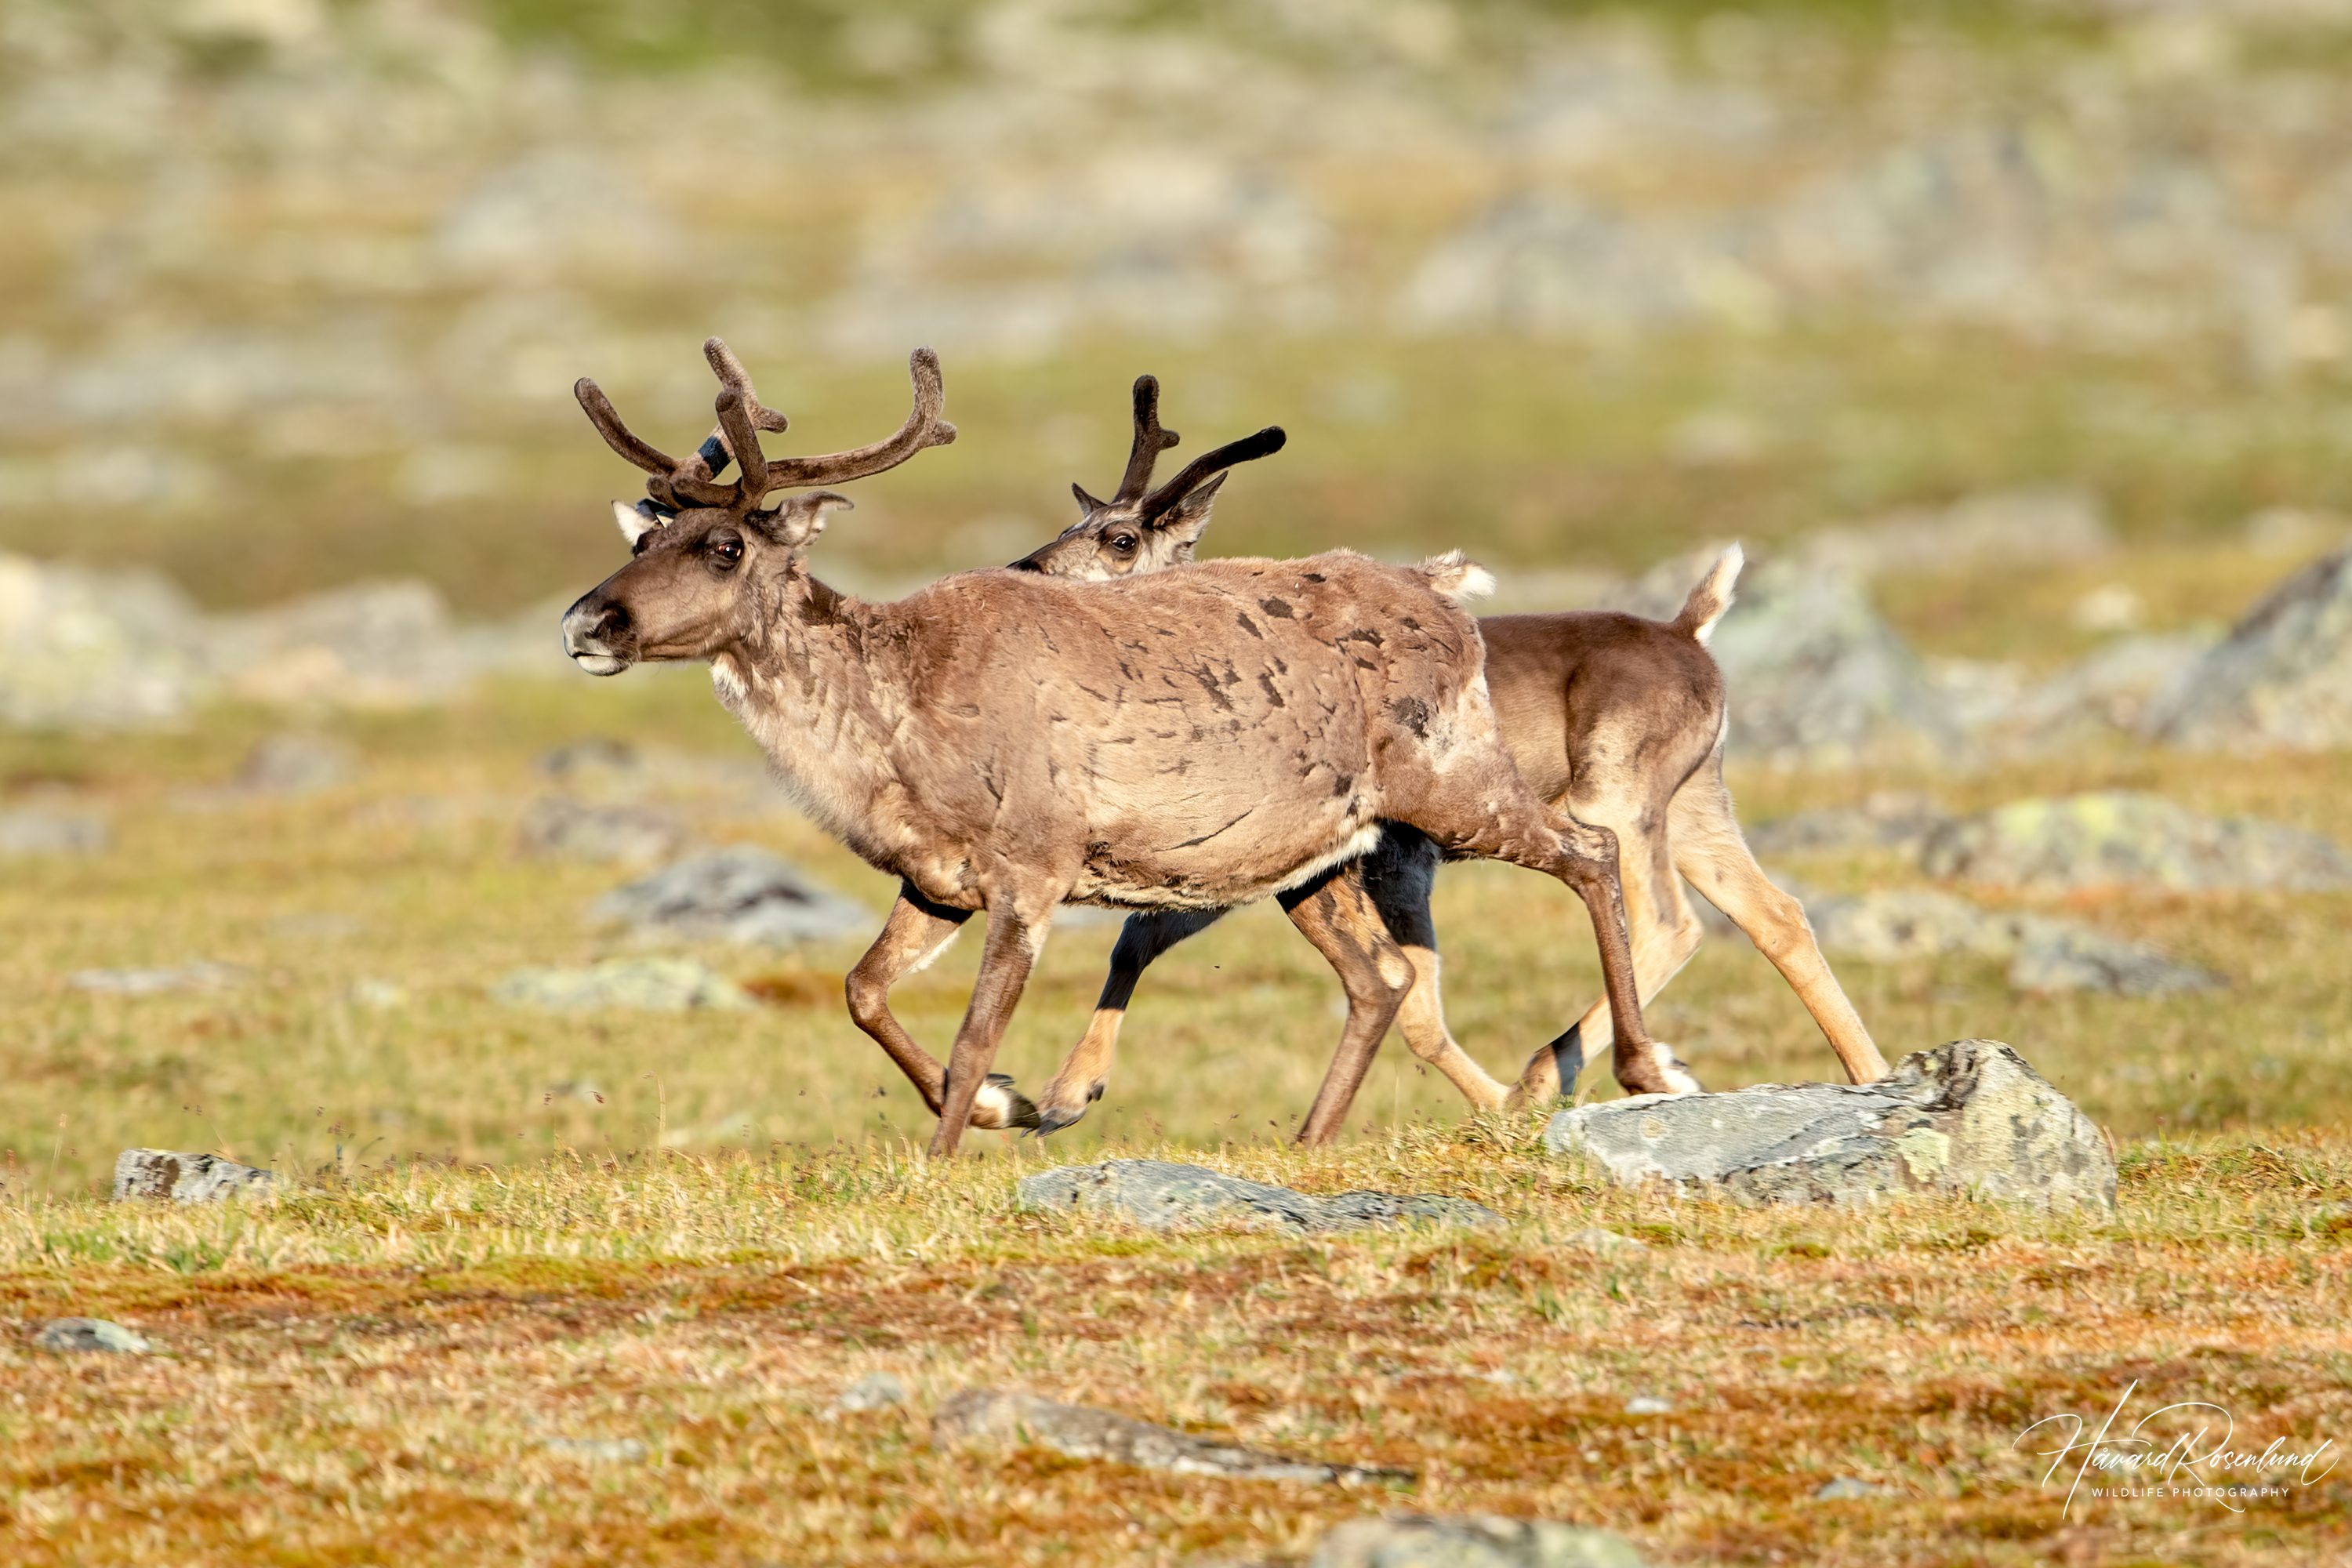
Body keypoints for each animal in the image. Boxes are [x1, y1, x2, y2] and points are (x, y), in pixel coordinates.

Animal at [559, 340, 1691, 1155]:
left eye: (723, 545)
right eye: (640, 538)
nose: (586, 621)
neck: (894, 725)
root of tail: (1445, 593)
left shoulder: (1035, 864)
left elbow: (973, 1035)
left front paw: (951, 1150)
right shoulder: (937, 877)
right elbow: (863, 991)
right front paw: (1012, 1109)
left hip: (1452, 776)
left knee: (1591, 857)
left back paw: (1642, 1069)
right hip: (1315, 855)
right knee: (1382, 980)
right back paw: (1310, 1140)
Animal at [1005, 375, 1889, 1134]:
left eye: (1121, 538)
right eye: (1070, 524)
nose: (1023, 567)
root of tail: (1688, 631)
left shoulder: (1388, 855)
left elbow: (1415, 1010)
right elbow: (1144, 938)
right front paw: (1065, 1094)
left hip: (1616, 791)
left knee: (1670, 920)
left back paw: (1576, 1070)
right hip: (1698, 801)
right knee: (1777, 915)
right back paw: (1870, 1076)